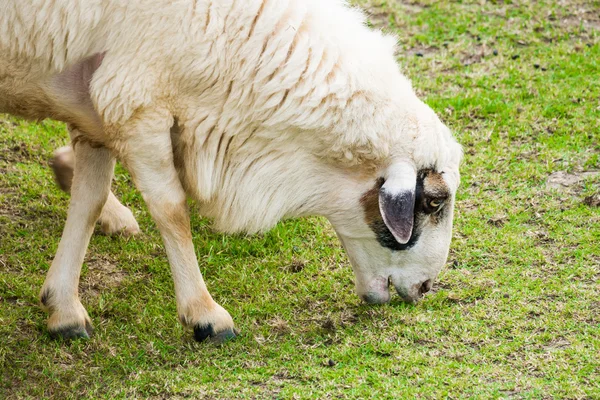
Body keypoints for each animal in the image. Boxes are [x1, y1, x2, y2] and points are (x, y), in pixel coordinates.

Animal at [0, 0, 464, 344]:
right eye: (434, 201)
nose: (425, 289)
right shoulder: (134, 101)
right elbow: (171, 210)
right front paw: (205, 315)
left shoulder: (96, 105)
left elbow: (89, 200)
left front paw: (63, 308)